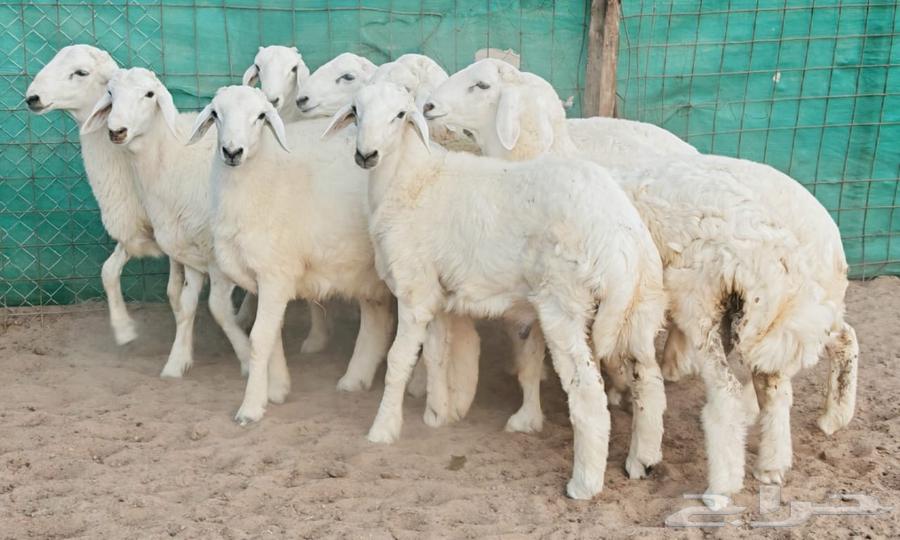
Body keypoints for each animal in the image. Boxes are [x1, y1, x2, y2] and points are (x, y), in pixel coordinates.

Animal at [25, 44, 184, 346]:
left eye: (81, 72)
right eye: (111, 93)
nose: (32, 98)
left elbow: (175, 291)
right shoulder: (131, 223)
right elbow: (108, 272)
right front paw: (123, 329)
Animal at [81, 68, 251, 379]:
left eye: (150, 94)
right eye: (110, 93)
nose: (116, 131)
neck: (173, 158)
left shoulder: (218, 252)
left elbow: (218, 308)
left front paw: (247, 358)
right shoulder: (189, 246)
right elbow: (184, 302)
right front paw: (177, 360)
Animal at [186, 85, 401, 423]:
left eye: (260, 116)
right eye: (216, 114)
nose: (232, 152)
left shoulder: (276, 276)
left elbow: (260, 338)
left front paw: (251, 407)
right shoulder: (261, 280)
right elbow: (272, 336)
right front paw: (276, 390)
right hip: (364, 270)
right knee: (377, 318)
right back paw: (355, 378)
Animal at [324, 82, 668, 499]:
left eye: (400, 115)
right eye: (355, 111)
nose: (366, 155)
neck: (411, 179)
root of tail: (620, 238)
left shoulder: (414, 291)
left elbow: (398, 362)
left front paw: (383, 429)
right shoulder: (436, 295)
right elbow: (436, 356)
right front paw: (438, 414)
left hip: (565, 303)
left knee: (588, 393)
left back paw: (584, 484)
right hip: (641, 306)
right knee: (649, 381)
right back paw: (642, 461)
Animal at [423, 58, 858, 507]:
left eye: (481, 85)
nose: (428, 106)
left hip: (709, 304)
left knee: (736, 391)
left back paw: (725, 484)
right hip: (770, 316)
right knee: (780, 381)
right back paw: (776, 461)